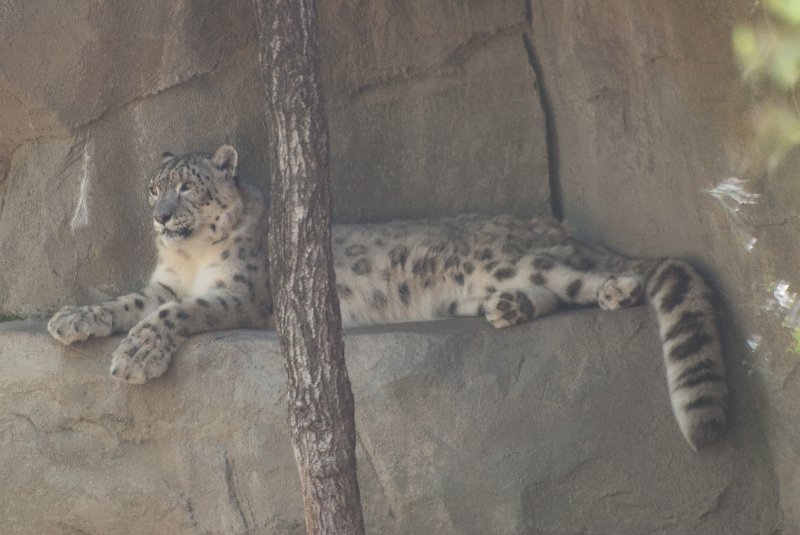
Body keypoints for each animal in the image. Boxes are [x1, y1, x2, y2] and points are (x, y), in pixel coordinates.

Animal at [49, 144, 727, 451]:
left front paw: (135, 357)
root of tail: (548, 223)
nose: (162, 216)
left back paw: (615, 287)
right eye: (154, 187)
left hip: (507, 258)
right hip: (483, 283)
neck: (187, 260)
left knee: (602, 275)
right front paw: (73, 320)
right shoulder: (158, 283)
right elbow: (125, 303)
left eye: (188, 187)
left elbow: (176, 313)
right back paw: (509, 309)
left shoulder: (240, 294)